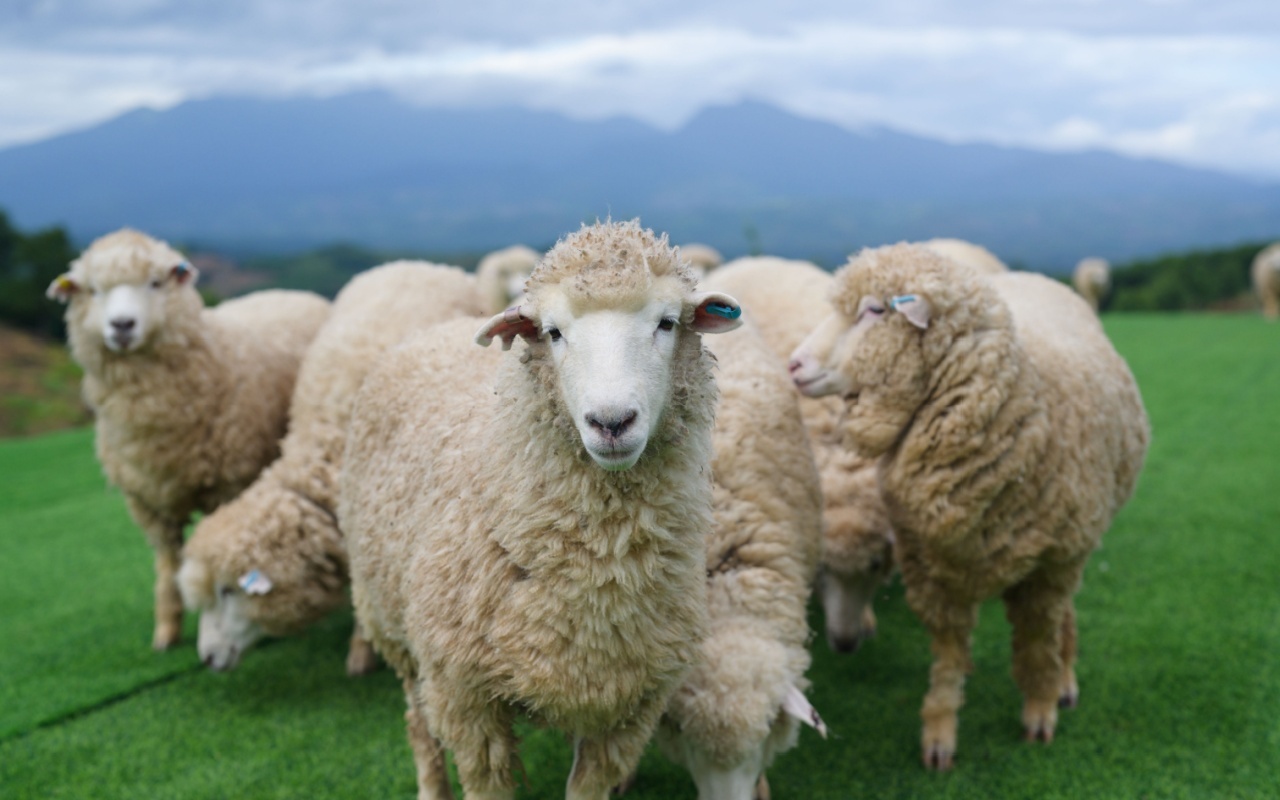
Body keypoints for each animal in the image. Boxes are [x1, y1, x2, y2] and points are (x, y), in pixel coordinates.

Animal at [46, 228, 330, 650]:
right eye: (93, 290)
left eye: (155, 283)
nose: (122, 325)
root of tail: (288, 290)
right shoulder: (146, 502)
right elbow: (167, 564)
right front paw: (166, 631)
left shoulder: (228, 484)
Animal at [339, 219, 746, 800]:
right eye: (553, 333)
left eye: (667, 323)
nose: (611, 422)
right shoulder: (466, 700)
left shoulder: (629, 706)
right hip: (395, 629)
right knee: (419, 724)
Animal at [789, 243, 1149, 770]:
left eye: (875, 311)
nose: (793, 365)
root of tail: (1034, 276)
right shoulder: (931, 570)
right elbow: (948, 655)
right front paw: (940, 731)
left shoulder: (1049, 566)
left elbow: (1038, 642)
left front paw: (1040, 710)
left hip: (1074, 544)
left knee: (1063, 615)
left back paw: (1064, 678)